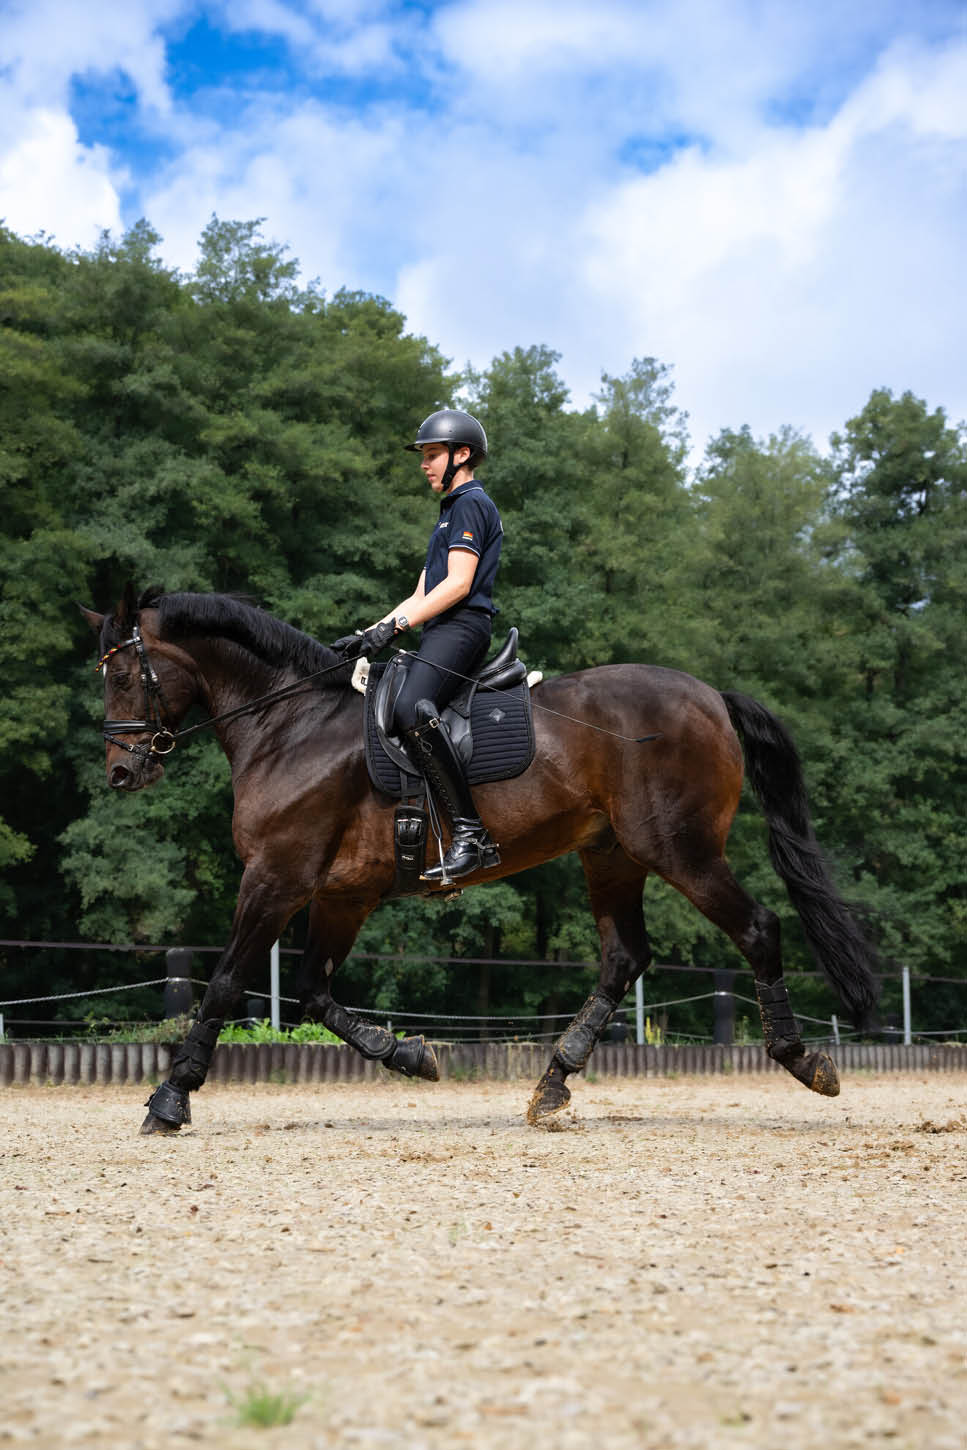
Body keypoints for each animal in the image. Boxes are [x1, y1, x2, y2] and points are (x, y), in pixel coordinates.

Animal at [81, 585, 878, 1135]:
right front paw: (408, 1054)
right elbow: (313, 993)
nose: (120, 773)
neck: (289, 726)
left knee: (756, 929)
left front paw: (170, 1099)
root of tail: (709, 694)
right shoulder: (340, 895)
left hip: (678, 849)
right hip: (611, 854)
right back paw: (552, 1085)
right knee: (623, 957)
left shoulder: (276, 878)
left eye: (121, 676)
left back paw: (803, 1060)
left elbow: (223, 984)